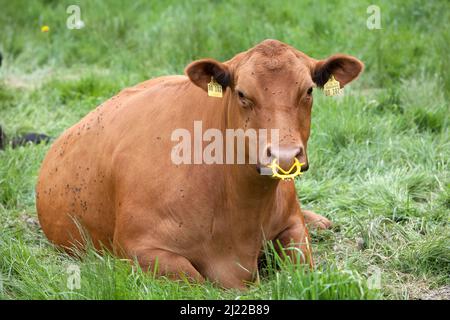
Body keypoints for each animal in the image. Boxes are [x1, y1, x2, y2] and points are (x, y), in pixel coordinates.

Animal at [37, 38, 364, 288]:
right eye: (242, 93)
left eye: (308, 90)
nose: (284, 156)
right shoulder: (137, 247)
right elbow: (196, 280)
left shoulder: (291, 225)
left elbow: (300, 262)